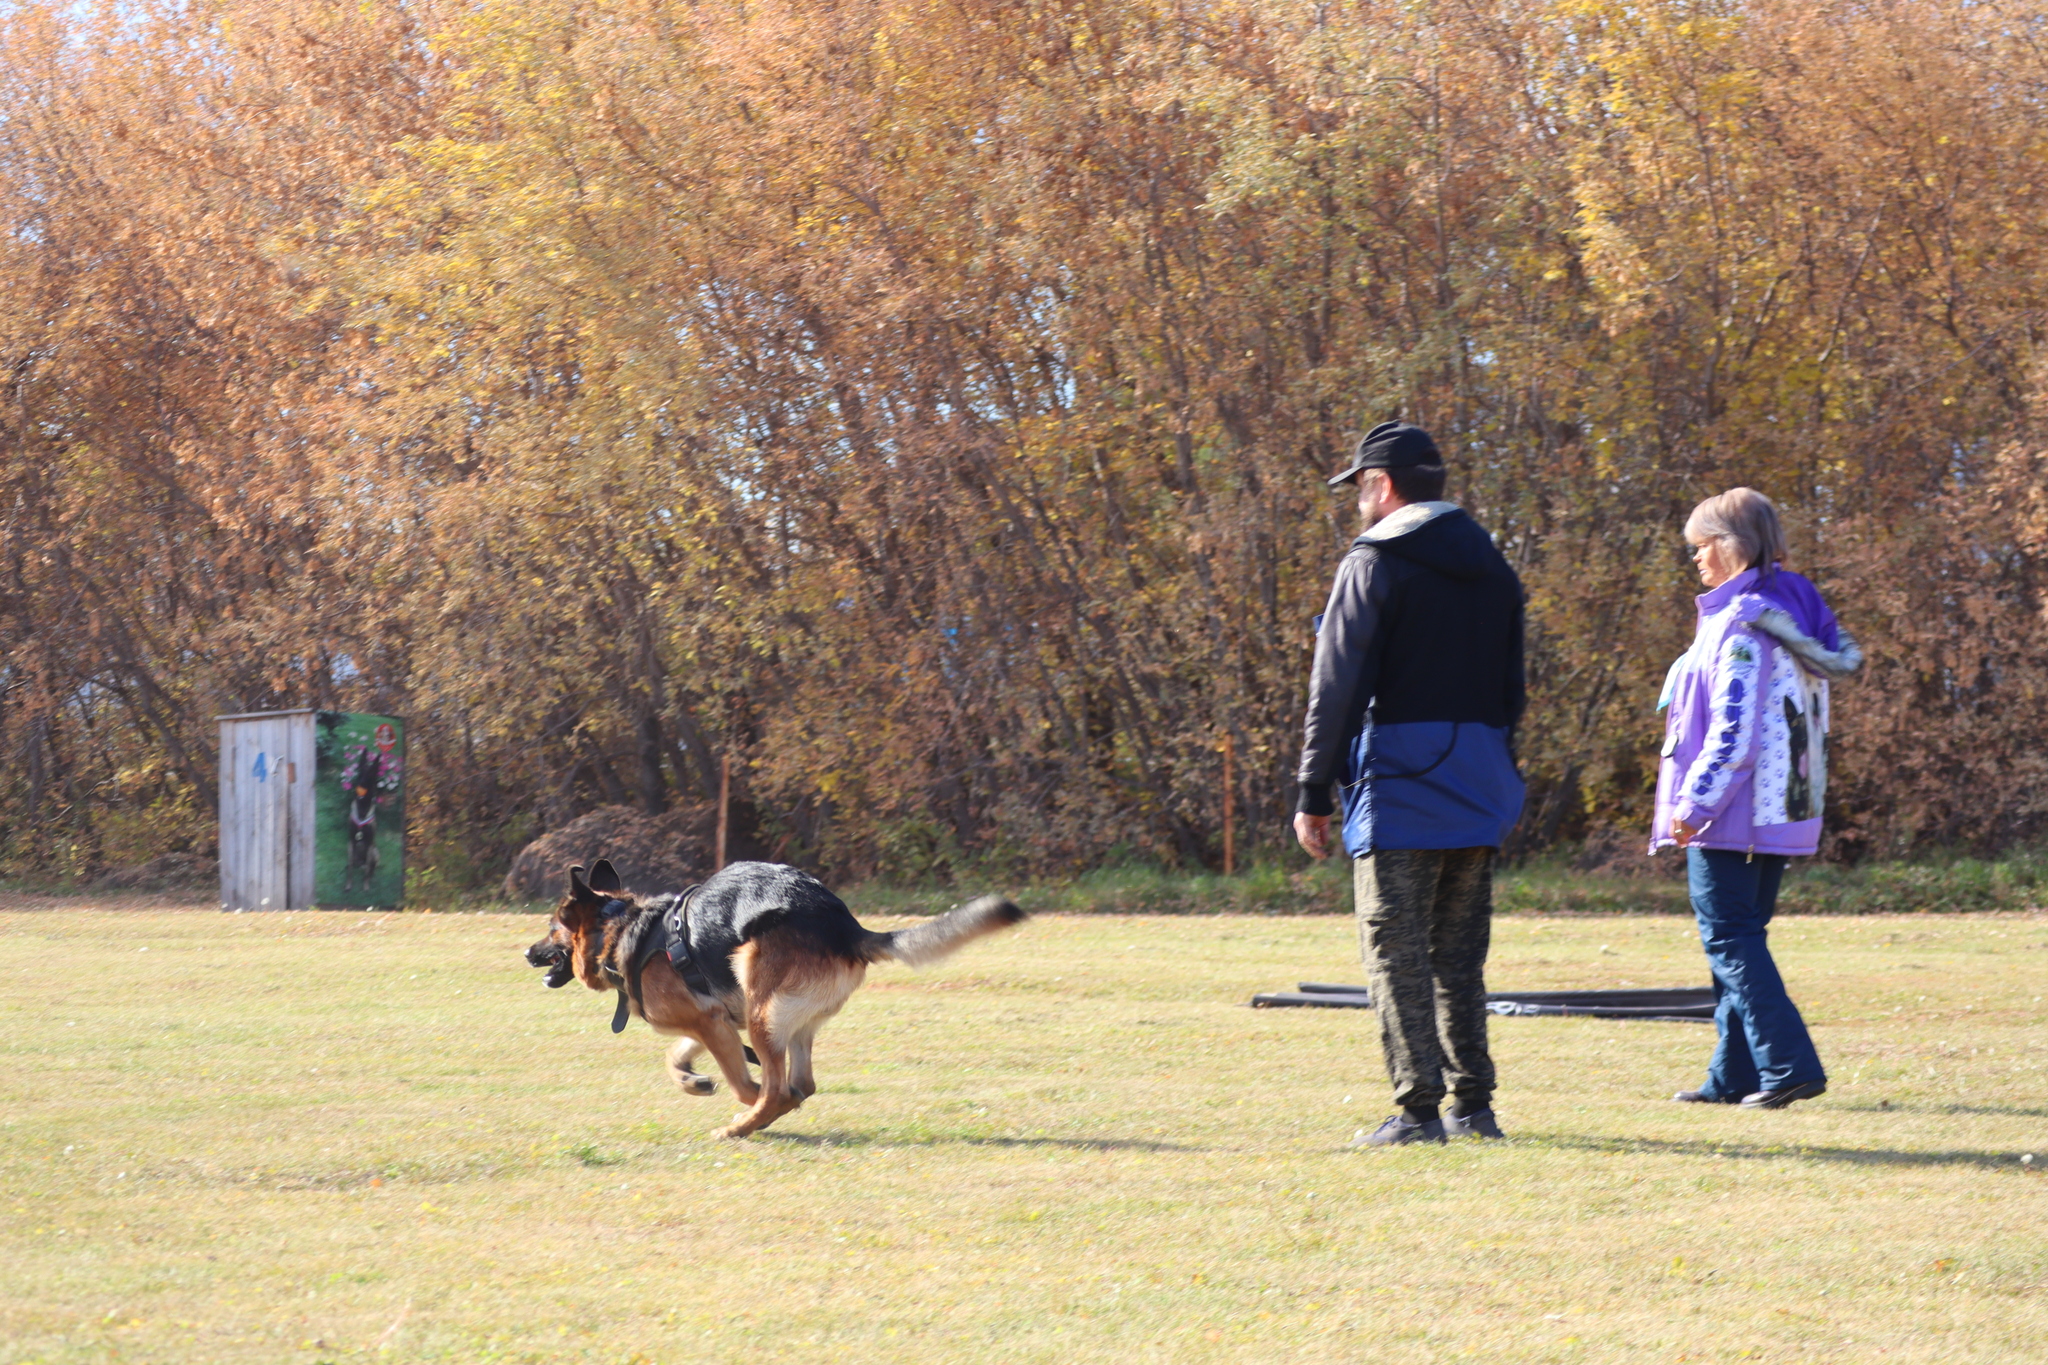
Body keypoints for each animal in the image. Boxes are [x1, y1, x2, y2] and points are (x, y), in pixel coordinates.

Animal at [524, 859, 1024, 1137]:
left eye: (551, 928)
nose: (526, 952)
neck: (619, 926)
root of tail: (846, 926)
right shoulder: (715, 1018)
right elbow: (677, 1054)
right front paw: (692, 1079)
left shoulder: (712, 1023)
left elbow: (745, 1083)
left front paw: (735, 1096)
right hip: (785, 1019)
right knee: (803, 1082)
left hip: (760, 1007)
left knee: (779, 1088)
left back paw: (742, 1127)